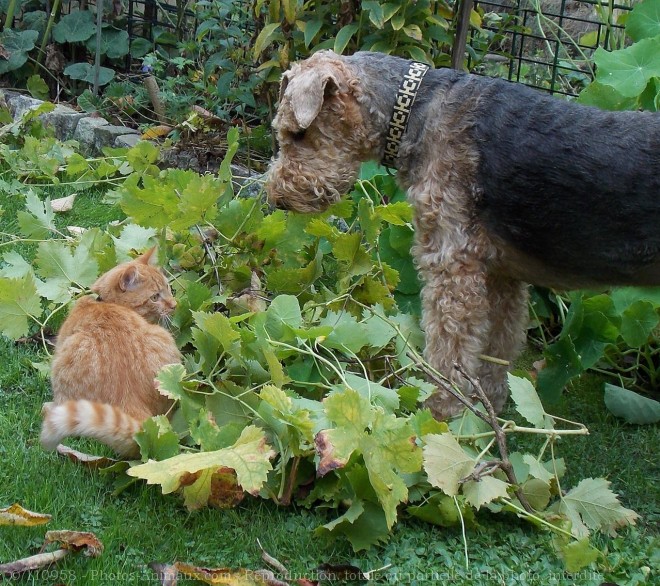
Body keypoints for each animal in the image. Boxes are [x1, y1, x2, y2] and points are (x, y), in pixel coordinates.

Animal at [266, 49, 660, 416]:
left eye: (298, 133)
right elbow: (495, 352)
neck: (412, 109)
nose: (277, 197)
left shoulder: (452, 265)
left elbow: (448, 349)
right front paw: (487, 413)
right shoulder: (502, 275)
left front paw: (438, 413)